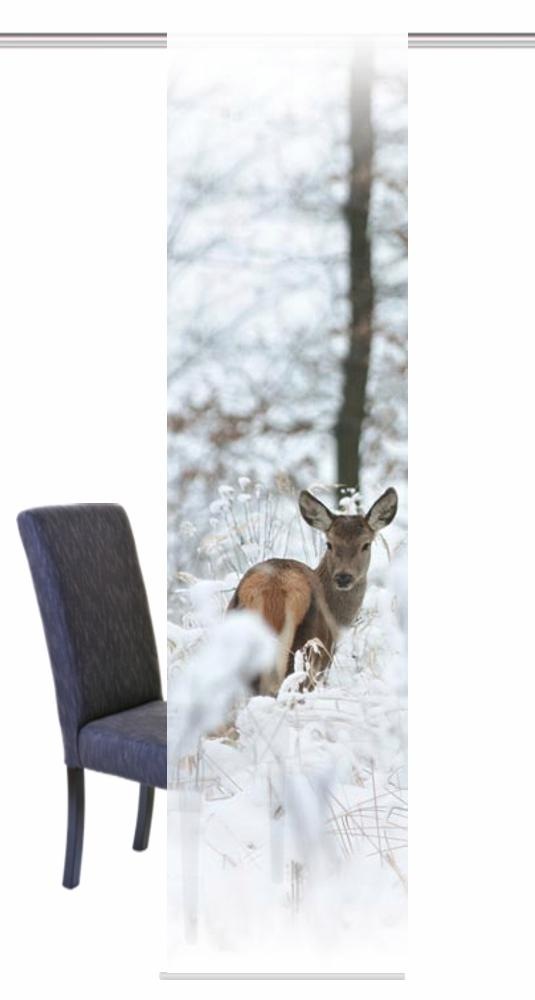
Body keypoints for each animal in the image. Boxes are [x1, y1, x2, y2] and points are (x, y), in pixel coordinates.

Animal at [227, 487, 398, 695]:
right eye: (329, 543)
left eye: (366, 544)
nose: (343, 577)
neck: (337, 620)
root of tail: (273, 589)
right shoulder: (325, 661)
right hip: (305, 652)